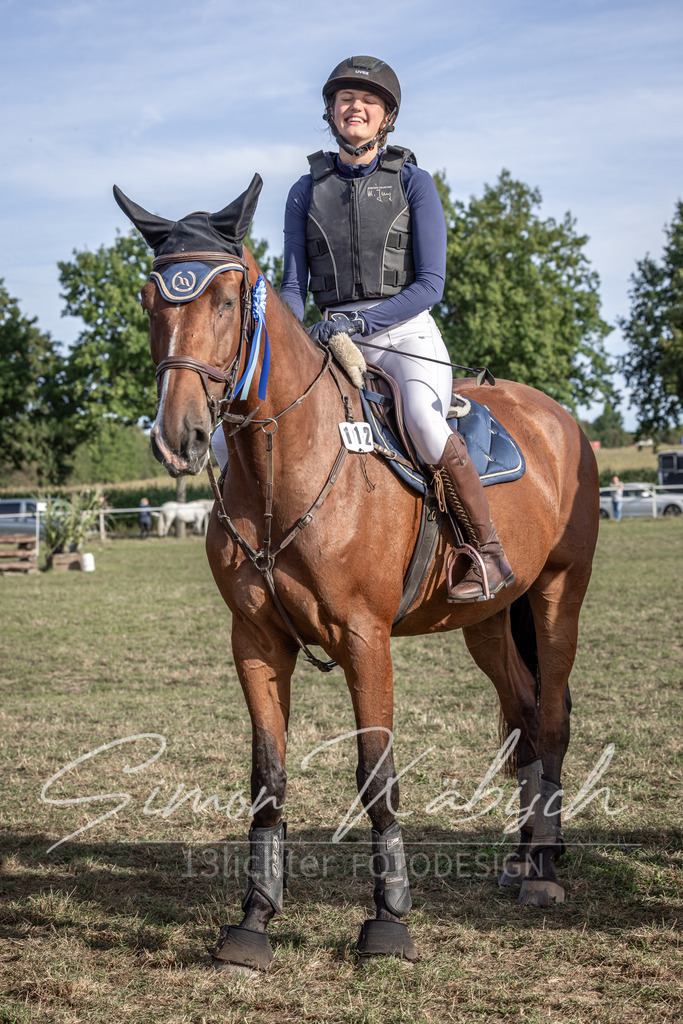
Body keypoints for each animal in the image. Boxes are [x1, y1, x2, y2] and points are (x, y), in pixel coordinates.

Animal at [114, 176, 599, 973]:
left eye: (228, 300)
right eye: (152, 301)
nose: (178, 436)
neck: (286, 465)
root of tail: (559, 419)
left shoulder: (365, 639)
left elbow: (377, 775)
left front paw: (388, 921)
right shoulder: (255, 641)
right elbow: (268, 778)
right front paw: (254, 920)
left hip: (559, 594)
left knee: (553, 719)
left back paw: (546, 874)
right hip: (491, 620)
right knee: (526, 717)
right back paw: (522, 857)